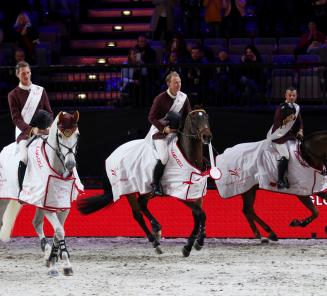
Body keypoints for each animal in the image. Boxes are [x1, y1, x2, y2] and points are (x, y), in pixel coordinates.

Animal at [0, 110, 81, 276]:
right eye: (60, 135)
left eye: (77, 134)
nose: (70, 164)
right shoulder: (47, 207)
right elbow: (59, 231)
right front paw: (60, 266)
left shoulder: (61, 205)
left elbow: (57, 232)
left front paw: (56, 261)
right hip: (4, 198)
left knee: (36, 223)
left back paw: (46, 251)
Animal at [78, 109, 214, 256]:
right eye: (194, 119)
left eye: (206, 117)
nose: (207, 136)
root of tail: (112, 155)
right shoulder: (180, 193)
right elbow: (200, 214)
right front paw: (196, 244)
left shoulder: (196, 193)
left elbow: (198, 215)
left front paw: (191, 245)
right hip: (129, 189)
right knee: (137, 213)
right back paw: (155, 242)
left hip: (146, 189)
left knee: (142, 204)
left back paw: (157, 228)